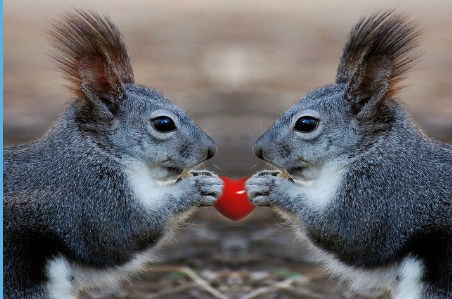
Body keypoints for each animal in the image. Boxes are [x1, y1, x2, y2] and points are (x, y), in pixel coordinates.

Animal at [3, 9, 222, 299]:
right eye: (163, 124)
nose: (210, 149)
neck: (99, 151)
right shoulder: (90, 196)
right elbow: (123, 234)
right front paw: (195, 188)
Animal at [247, 10, 452, 298]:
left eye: (306, 124)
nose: (259, 149)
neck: (371, 151)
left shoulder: (384, 196)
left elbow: (347, 234)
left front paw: (273, 189)